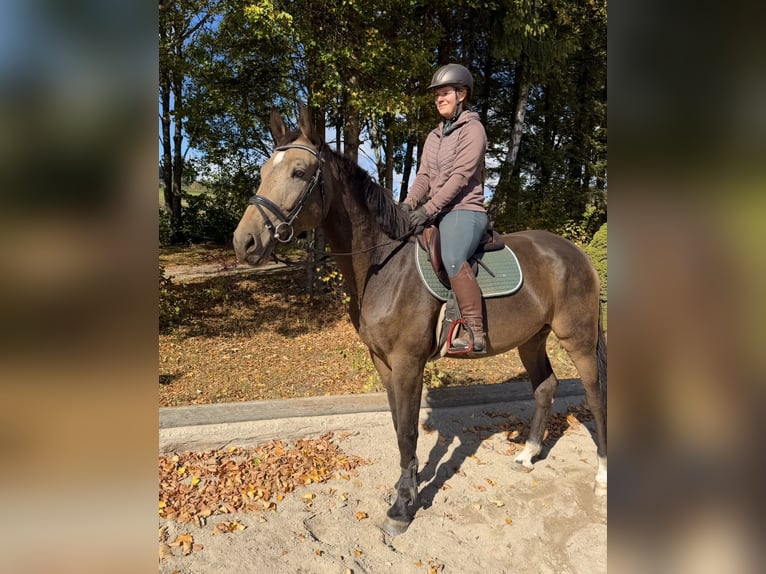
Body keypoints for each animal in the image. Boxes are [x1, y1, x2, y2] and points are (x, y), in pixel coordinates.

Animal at [233, 103, 607, 536]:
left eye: (298, 171)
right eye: (264, 171)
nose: (244, 242)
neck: (383, 264)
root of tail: (576, 253)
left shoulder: (408, 363)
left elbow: (409, 431)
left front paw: (401, 508)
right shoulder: (383, 362)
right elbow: (400, 428)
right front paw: (404, 489)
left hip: (578, 340)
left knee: (595, 395)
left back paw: (602, 475)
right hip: (532, 339)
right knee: (545, 387)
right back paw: (528, 454)